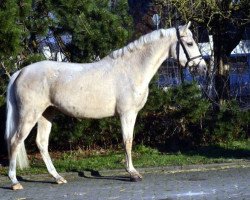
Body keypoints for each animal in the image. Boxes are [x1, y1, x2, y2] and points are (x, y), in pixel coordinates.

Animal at [4, 21, 206, 189]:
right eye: (189, 44)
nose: (203, 68)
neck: (131, 69)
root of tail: (21, 71)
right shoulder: (127, 114)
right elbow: (127, 141)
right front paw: (133, 173)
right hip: (29, 115)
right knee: (15, 141)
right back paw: (14, 182)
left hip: (47, 114)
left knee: (42, 143)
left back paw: (57, 177)